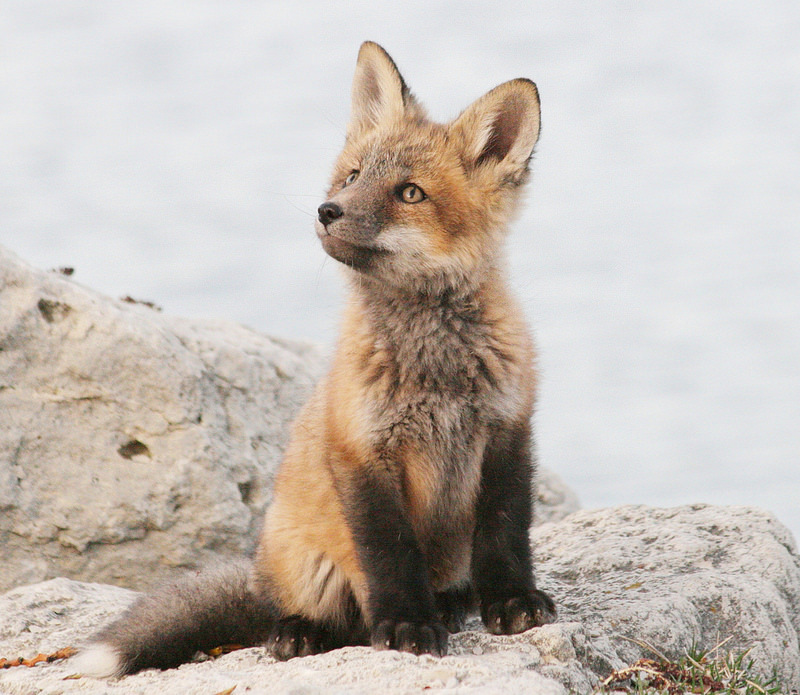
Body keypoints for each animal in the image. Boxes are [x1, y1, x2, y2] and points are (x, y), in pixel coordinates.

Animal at [75, 40, 556, 676]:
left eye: (410, 192)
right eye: (352, 176)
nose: (328, 209)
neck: (435, 367)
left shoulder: (507, 433)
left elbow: (505, 535)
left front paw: (512, 602)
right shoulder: (362, 453)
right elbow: (390, 554)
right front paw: (406, 626)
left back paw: (454, 605)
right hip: (309, 566)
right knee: (308, 617)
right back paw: (300, 631)